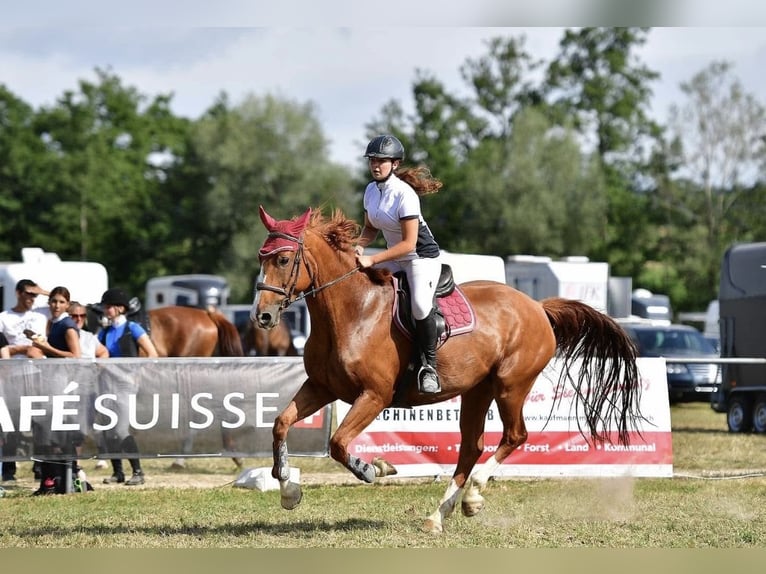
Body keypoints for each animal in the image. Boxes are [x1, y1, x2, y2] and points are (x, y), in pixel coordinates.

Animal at [254, 207, 648, 536]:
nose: (263, 316)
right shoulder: (322, 387)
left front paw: (373, 469)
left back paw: (474, 496)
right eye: (261, 258)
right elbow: (281, 424)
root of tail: (537, 306)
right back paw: (438, 515)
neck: (353, 311)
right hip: (478, 389)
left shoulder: (374, 395)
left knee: (514, 436)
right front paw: (288, 491)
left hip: (511, 385)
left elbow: (337, 443)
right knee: (472, 447)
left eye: (284, 259)